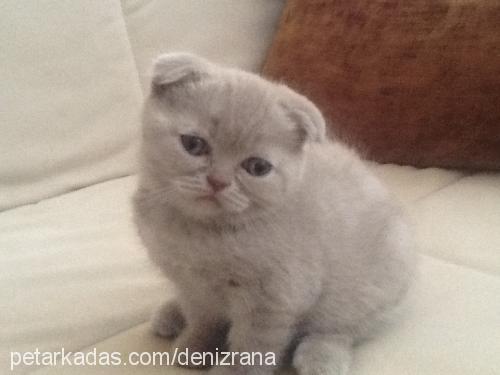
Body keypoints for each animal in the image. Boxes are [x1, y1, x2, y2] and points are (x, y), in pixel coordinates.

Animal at [132, 53, 414, 375]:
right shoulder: (191, 286)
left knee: (342, 327)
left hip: (369, 287)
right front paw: (195, 345)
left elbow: (251, 346)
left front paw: (231, 371)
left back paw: (320, 358)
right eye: (193, 144)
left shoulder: (272, 300)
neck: (199, 235)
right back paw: (171, 313)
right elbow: (204, 319)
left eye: (257, 167)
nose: (218, 181)